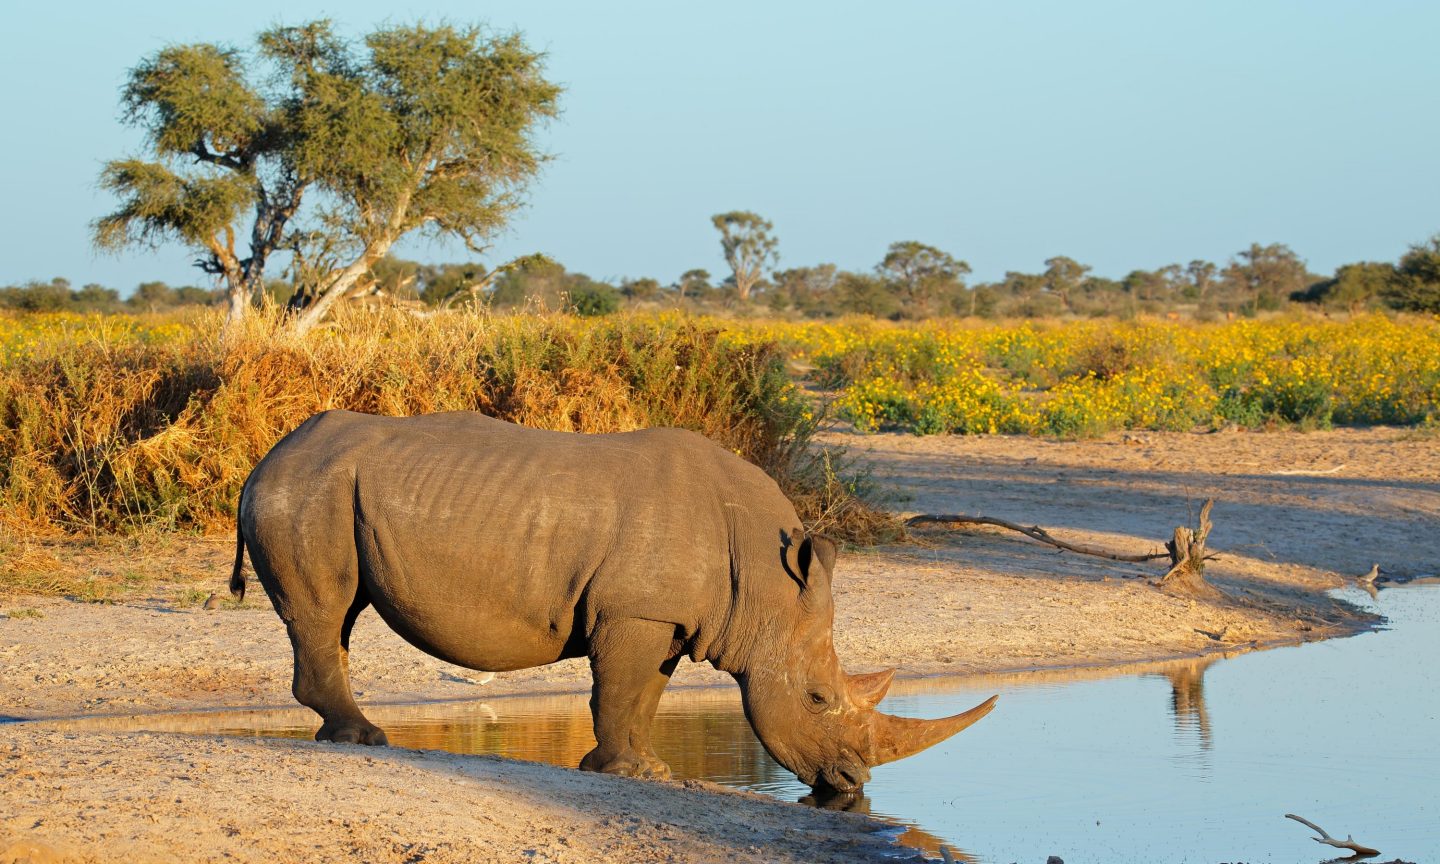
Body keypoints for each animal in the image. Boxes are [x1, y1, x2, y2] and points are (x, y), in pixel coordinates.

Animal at [230, 410, 995, 791]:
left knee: (340, 615)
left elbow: (642, 695)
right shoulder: (634, 612)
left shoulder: (668, 619)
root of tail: (271, 452)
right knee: (327, 609)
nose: (850, 781)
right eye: (815, 699)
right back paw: (362, 739)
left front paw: (644, 770)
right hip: (308, 487)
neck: (764, 582)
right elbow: (620, 689)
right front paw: (629, 773)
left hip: (325, 485)